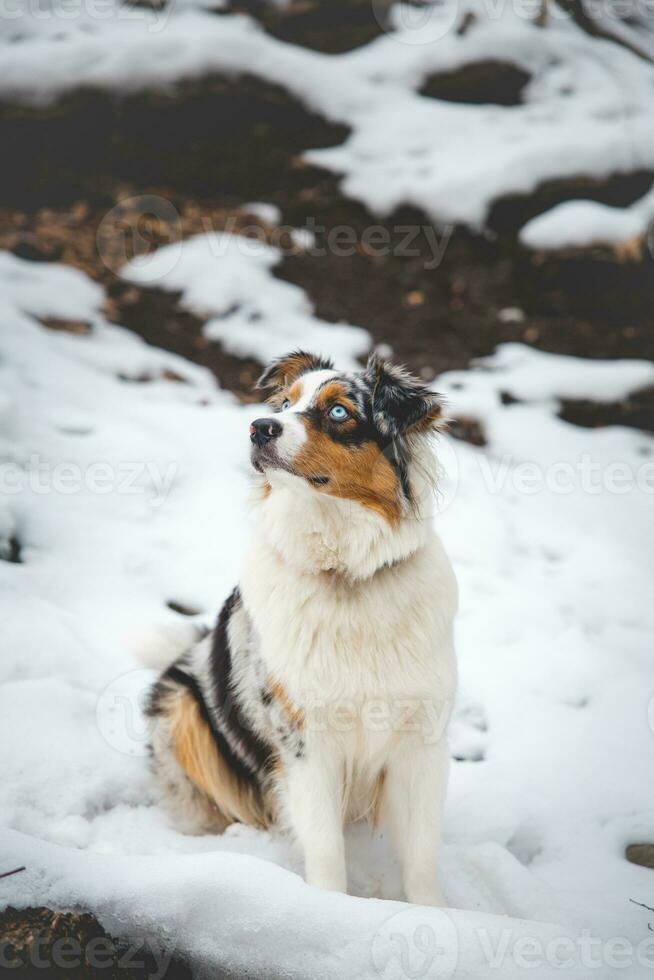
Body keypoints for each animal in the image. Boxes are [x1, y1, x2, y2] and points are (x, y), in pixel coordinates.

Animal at [146, 348, 458, 908]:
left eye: (338, 412)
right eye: (286, 403)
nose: (258, 427)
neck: (346, 574)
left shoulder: (420, 736)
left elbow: (422, 852)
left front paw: (436, 914)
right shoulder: (304, 740)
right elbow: (326, 847)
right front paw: (329, 911)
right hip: (181, 709)